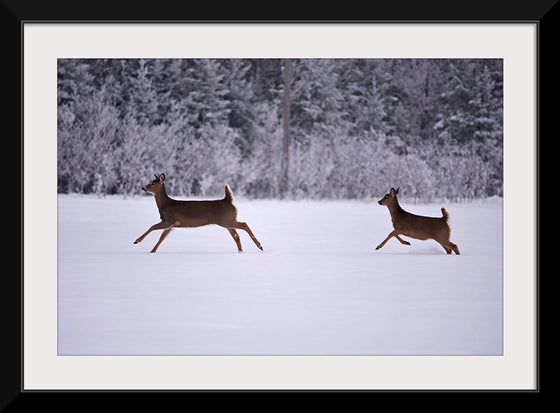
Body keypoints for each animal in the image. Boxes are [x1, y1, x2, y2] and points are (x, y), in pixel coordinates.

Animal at [132, 173, 264, 253]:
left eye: (152, 183)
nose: (143, 188)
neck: (165, 205)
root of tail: (228, 200)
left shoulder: (168, 220)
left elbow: (153, 227)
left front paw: (137, 241)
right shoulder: (171, 225)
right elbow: (162, 238)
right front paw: (152, 251)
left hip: (226, 220)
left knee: (244, 224)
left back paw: (260, 246)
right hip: (228, 221)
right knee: (236, 235)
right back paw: (241, 251)